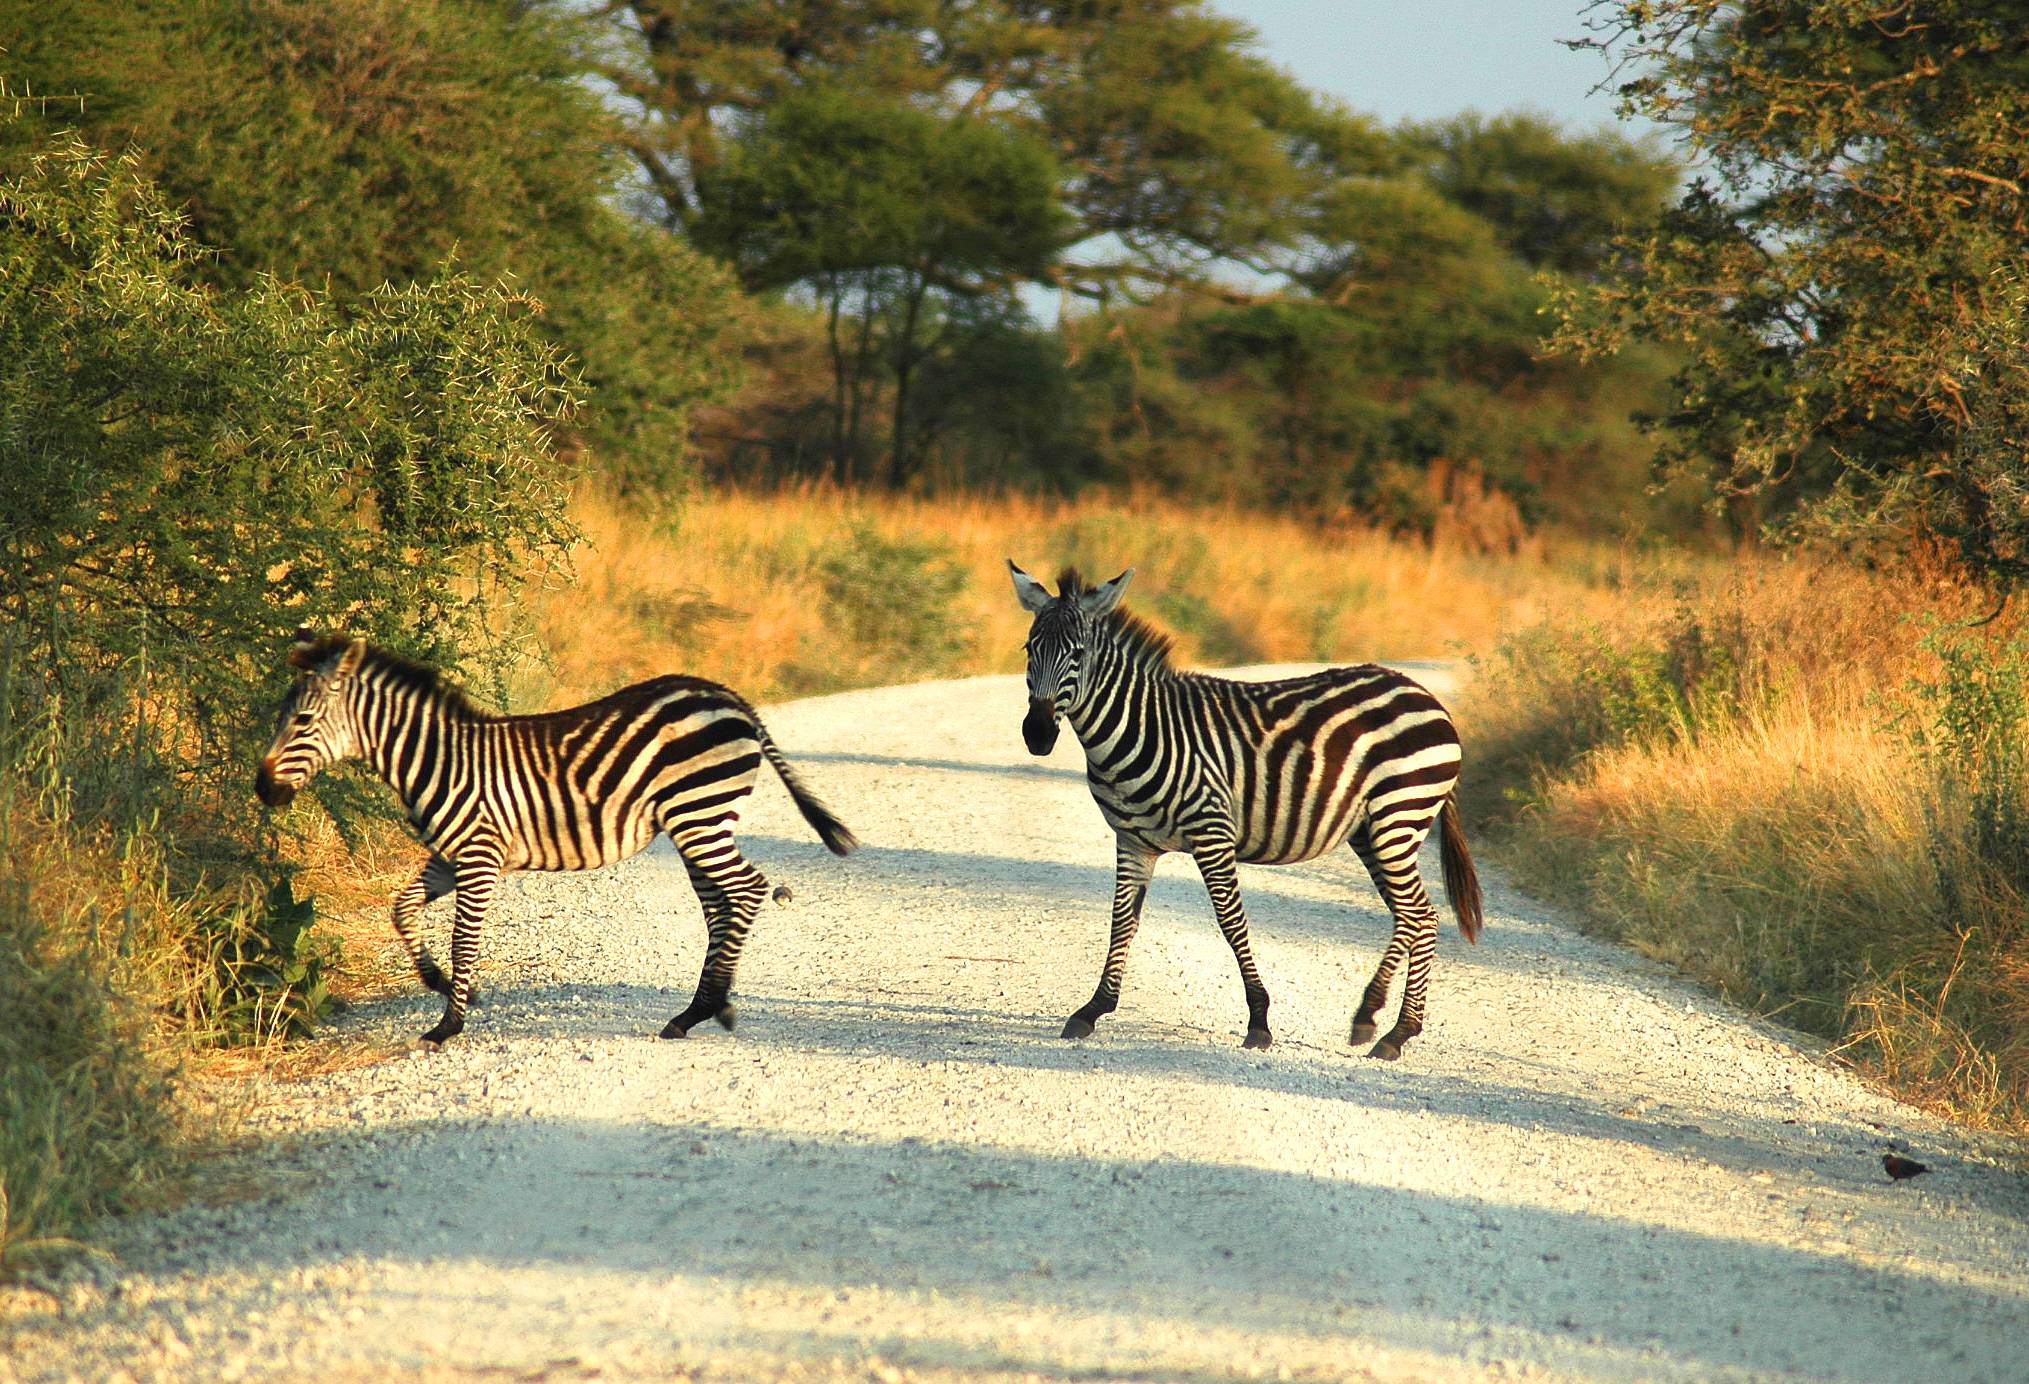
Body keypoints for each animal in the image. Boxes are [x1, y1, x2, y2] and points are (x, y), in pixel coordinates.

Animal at [254, 630, 857, 1046]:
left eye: (302, 721)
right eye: (280, 716)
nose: (263, 789)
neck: (438, 760)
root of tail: (725, 693)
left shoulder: (479, 854)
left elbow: (464, 940)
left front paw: (449, 1023)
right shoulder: (448, 856)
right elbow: (400, 908)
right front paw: (438, 981)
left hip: (698, 812)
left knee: (747, 890)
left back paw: (713, 1006)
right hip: (698, 819)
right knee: (720, 902)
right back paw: (697, 1011)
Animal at [1009, 562, 1482, 1059]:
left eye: (1078, 654)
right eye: (1029, 649)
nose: (1037, 735)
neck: (1137, 729)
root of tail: (1424, 694)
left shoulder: (1211, 831)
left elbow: (1231, 923)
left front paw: (1259, 1020)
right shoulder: (1133, 841)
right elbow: (1122, 922)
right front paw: (1093, 1009)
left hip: (1398, 814)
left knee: (1416, 913)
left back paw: (1378, 1022)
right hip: (1372, 830)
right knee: (1418, 915)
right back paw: (1395, 1027)